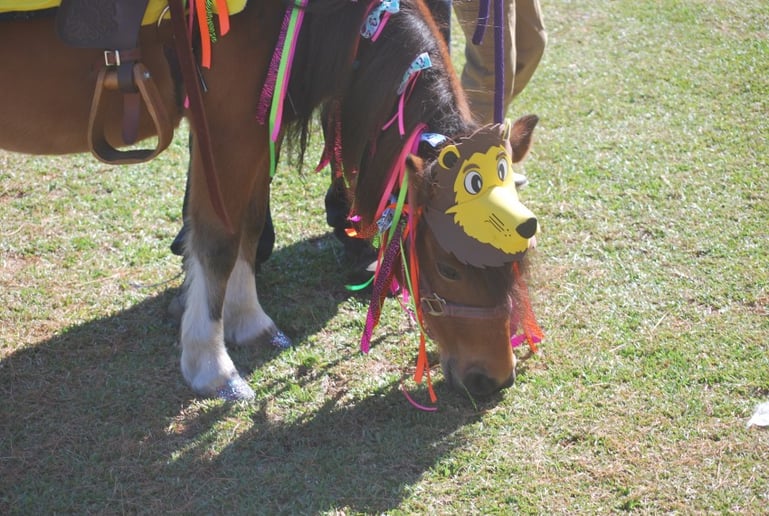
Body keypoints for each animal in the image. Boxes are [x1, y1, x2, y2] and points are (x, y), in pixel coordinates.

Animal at [0, 0, 541, 402]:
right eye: (449, 268)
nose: (495, 378)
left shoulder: (256, 124)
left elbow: (250, 224)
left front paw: (248, 321)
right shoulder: (226, 126)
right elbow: (217, 241)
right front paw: (210, 365)